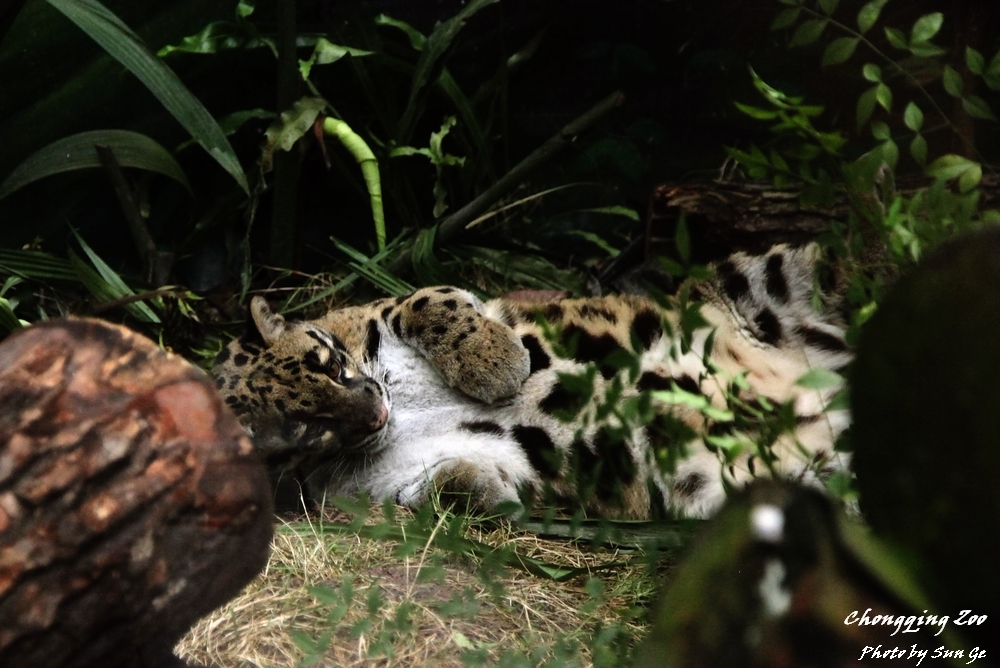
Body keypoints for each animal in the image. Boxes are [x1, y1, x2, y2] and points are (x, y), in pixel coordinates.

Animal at [212, 244, 852, 519]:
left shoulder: (391, 307)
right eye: (307, 428)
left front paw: (496, 364)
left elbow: (430, 300)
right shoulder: (385, 482)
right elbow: (448, 486)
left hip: (765, 277)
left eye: (333, 366)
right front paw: (488, 489)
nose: (376, 414)